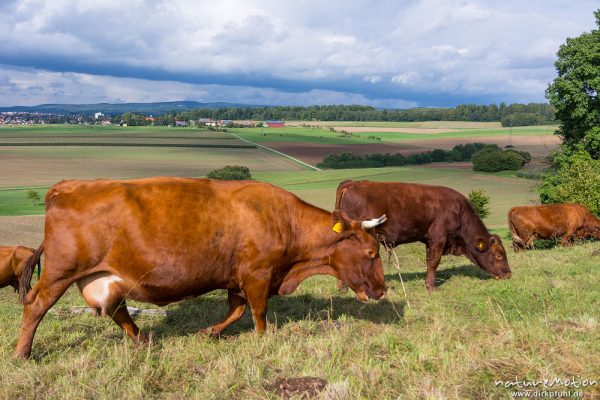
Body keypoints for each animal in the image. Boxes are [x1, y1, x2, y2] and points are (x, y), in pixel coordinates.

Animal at [17, 178, 390, 360]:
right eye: (371, 252)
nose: (383, 289)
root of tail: (67, 186)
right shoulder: (258, 275)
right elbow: (258, 312)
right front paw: (264, 340)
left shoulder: (237, 279)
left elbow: (236, 311)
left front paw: (209, 332)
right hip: (60, 273)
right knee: (35, 306)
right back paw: (23, 353)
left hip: (105, 277)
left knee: (118, 311)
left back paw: (144, 341)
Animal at [336, 180, 512, 290]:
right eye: (499, 255)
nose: (508, 274)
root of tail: (352, 183)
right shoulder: (439, 238)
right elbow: (434, 262)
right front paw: (431, 287)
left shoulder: (429, 241)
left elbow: (429, 262)